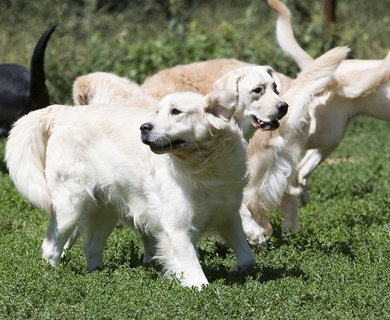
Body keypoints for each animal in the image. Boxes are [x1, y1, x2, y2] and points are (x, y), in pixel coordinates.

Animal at [6, 89, 256, 288]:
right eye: (157, 111)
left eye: (176, 111)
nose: (144, 127)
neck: (205, 165)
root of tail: (64, 112)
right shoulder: (178, 228)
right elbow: (198, 281)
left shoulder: (228, 215)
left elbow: (248, 258)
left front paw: (236, 270)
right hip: (70, 208)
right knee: (50, 248)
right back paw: (53, 278)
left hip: (104, 212)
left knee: (91, 248)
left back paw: (98, 276)